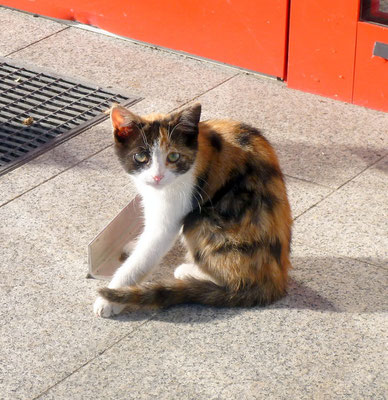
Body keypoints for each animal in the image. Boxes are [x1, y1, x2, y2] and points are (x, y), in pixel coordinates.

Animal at [94, 104, 292, 318]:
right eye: (141, 157)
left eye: (174, 156)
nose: (157, 177)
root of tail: (276, 282)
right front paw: (134, 245)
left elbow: (144, 256)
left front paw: (109, 298)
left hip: (204, 218)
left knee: (233, 280)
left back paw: (188, 272)